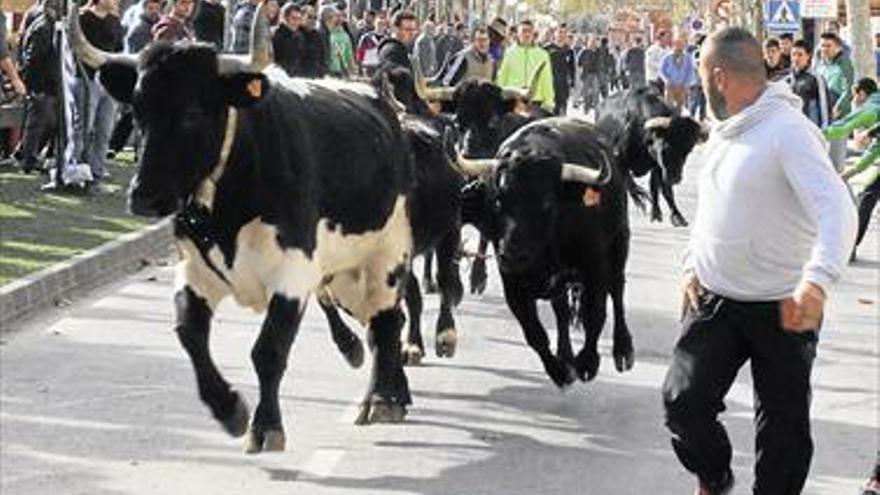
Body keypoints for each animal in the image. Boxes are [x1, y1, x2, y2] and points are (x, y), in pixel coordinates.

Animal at [458, 118, 636, 390]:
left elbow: (594, 313)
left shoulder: (595, 264)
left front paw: (588, 363)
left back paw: (623, 350)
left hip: (619, 245)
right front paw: (560, 371)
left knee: (617, 292)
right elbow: (535, 333)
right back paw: (566, 356)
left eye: (547, 203)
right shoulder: (513, 283)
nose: (513, 254)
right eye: (498, 200)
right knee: (562, 312)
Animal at [592, 88, 708, 228]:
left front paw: (670, 215)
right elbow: (628, 185)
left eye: (687, 151)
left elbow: (660, 189)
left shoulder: (658, 166)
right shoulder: (619, 159)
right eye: (666, 147)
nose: (675, 178)